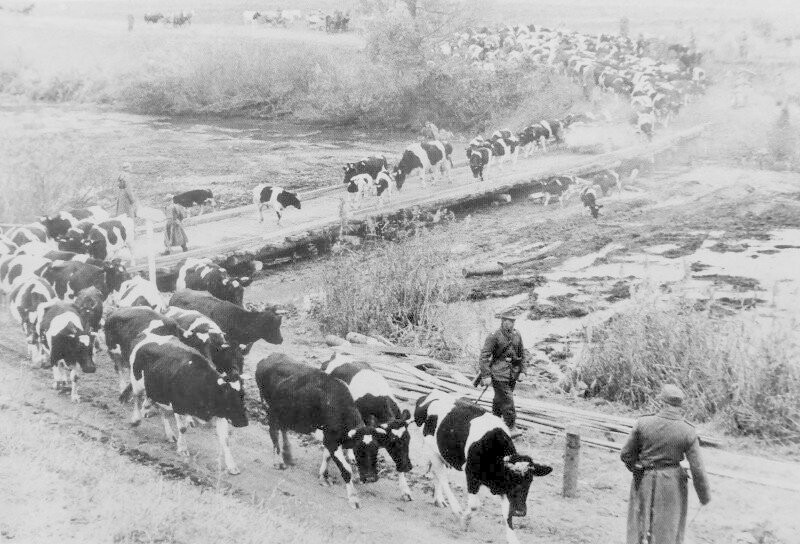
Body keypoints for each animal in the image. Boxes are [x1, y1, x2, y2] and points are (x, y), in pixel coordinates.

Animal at [120, 332, 247, 472]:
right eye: (227, 396)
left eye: (243, 395)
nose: (244, 422)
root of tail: (145, 334)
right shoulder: (179, 406)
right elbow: (182, 428)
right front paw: (182, 448)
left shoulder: (221, 414)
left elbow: (225, 439)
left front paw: (231, 465)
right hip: (137, 381)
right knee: (137, 399)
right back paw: (136, 419)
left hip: (160, 390)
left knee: (161, 410)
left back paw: (167, 432)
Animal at [256, 354, 382, 508]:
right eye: (359, 450)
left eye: (376, 449)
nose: (371, 478)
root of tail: (269, 357)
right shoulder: (331, 441)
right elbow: (346, 469)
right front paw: (353, 498)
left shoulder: (329, 438)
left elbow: (326, 456)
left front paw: (323, 477)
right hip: (272, 411)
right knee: (274, 433)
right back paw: (279, 461)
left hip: (287, 415)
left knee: (283, 430)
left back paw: (288, 456)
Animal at [412, 392, 552, 544]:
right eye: (511, 479)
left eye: (530, 481)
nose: (520, 512)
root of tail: (430, 395)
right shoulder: (471, 475)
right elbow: (474, 505)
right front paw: (465, 520)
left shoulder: (504, 489)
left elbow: (507, 513)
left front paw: (512, 538)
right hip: (431, 448)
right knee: (441, 477)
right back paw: (455, 508)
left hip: (441, 454)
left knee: (436, 474)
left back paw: (439, 500)